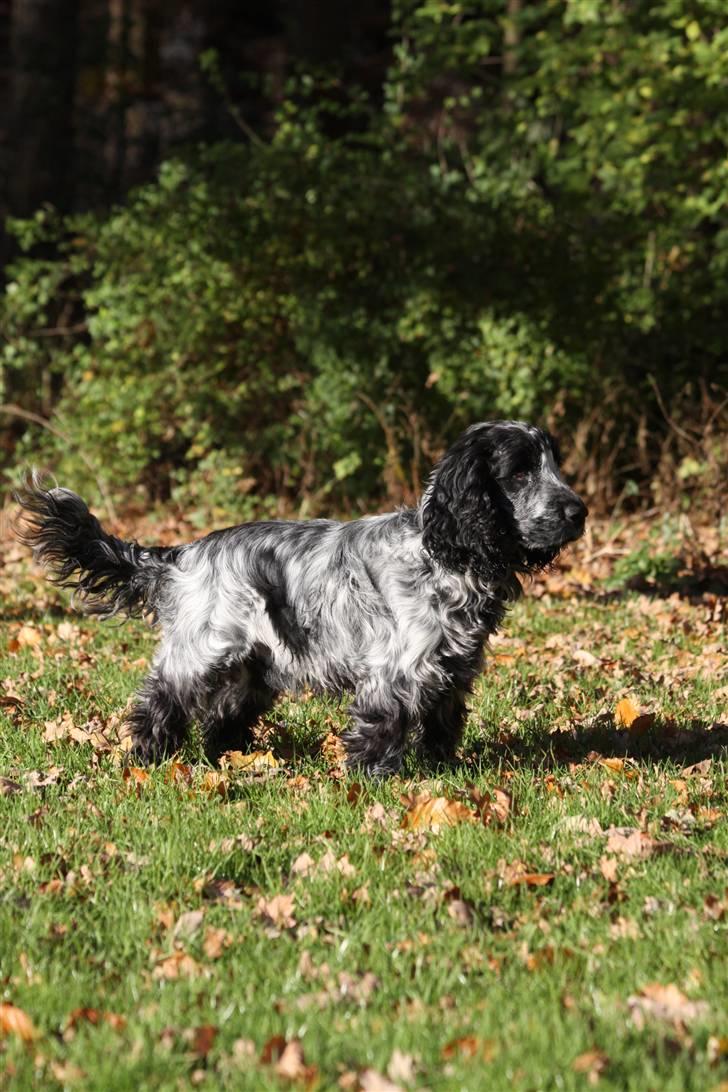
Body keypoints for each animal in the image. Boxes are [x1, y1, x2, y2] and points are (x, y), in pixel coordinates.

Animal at [15, 419, 585, 777]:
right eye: (519, 472)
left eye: (554, 466)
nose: (579, 511)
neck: (440, 553)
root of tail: (183, 556)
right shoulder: (396, 670)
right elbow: (384, 726)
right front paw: (377, 777)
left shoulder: (451, 669)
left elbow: (442, 725)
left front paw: (442, 769)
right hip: (202, 651)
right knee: (160, 700)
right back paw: (147, 756)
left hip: (252, 666)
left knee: (223, 718)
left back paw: (232, 759)